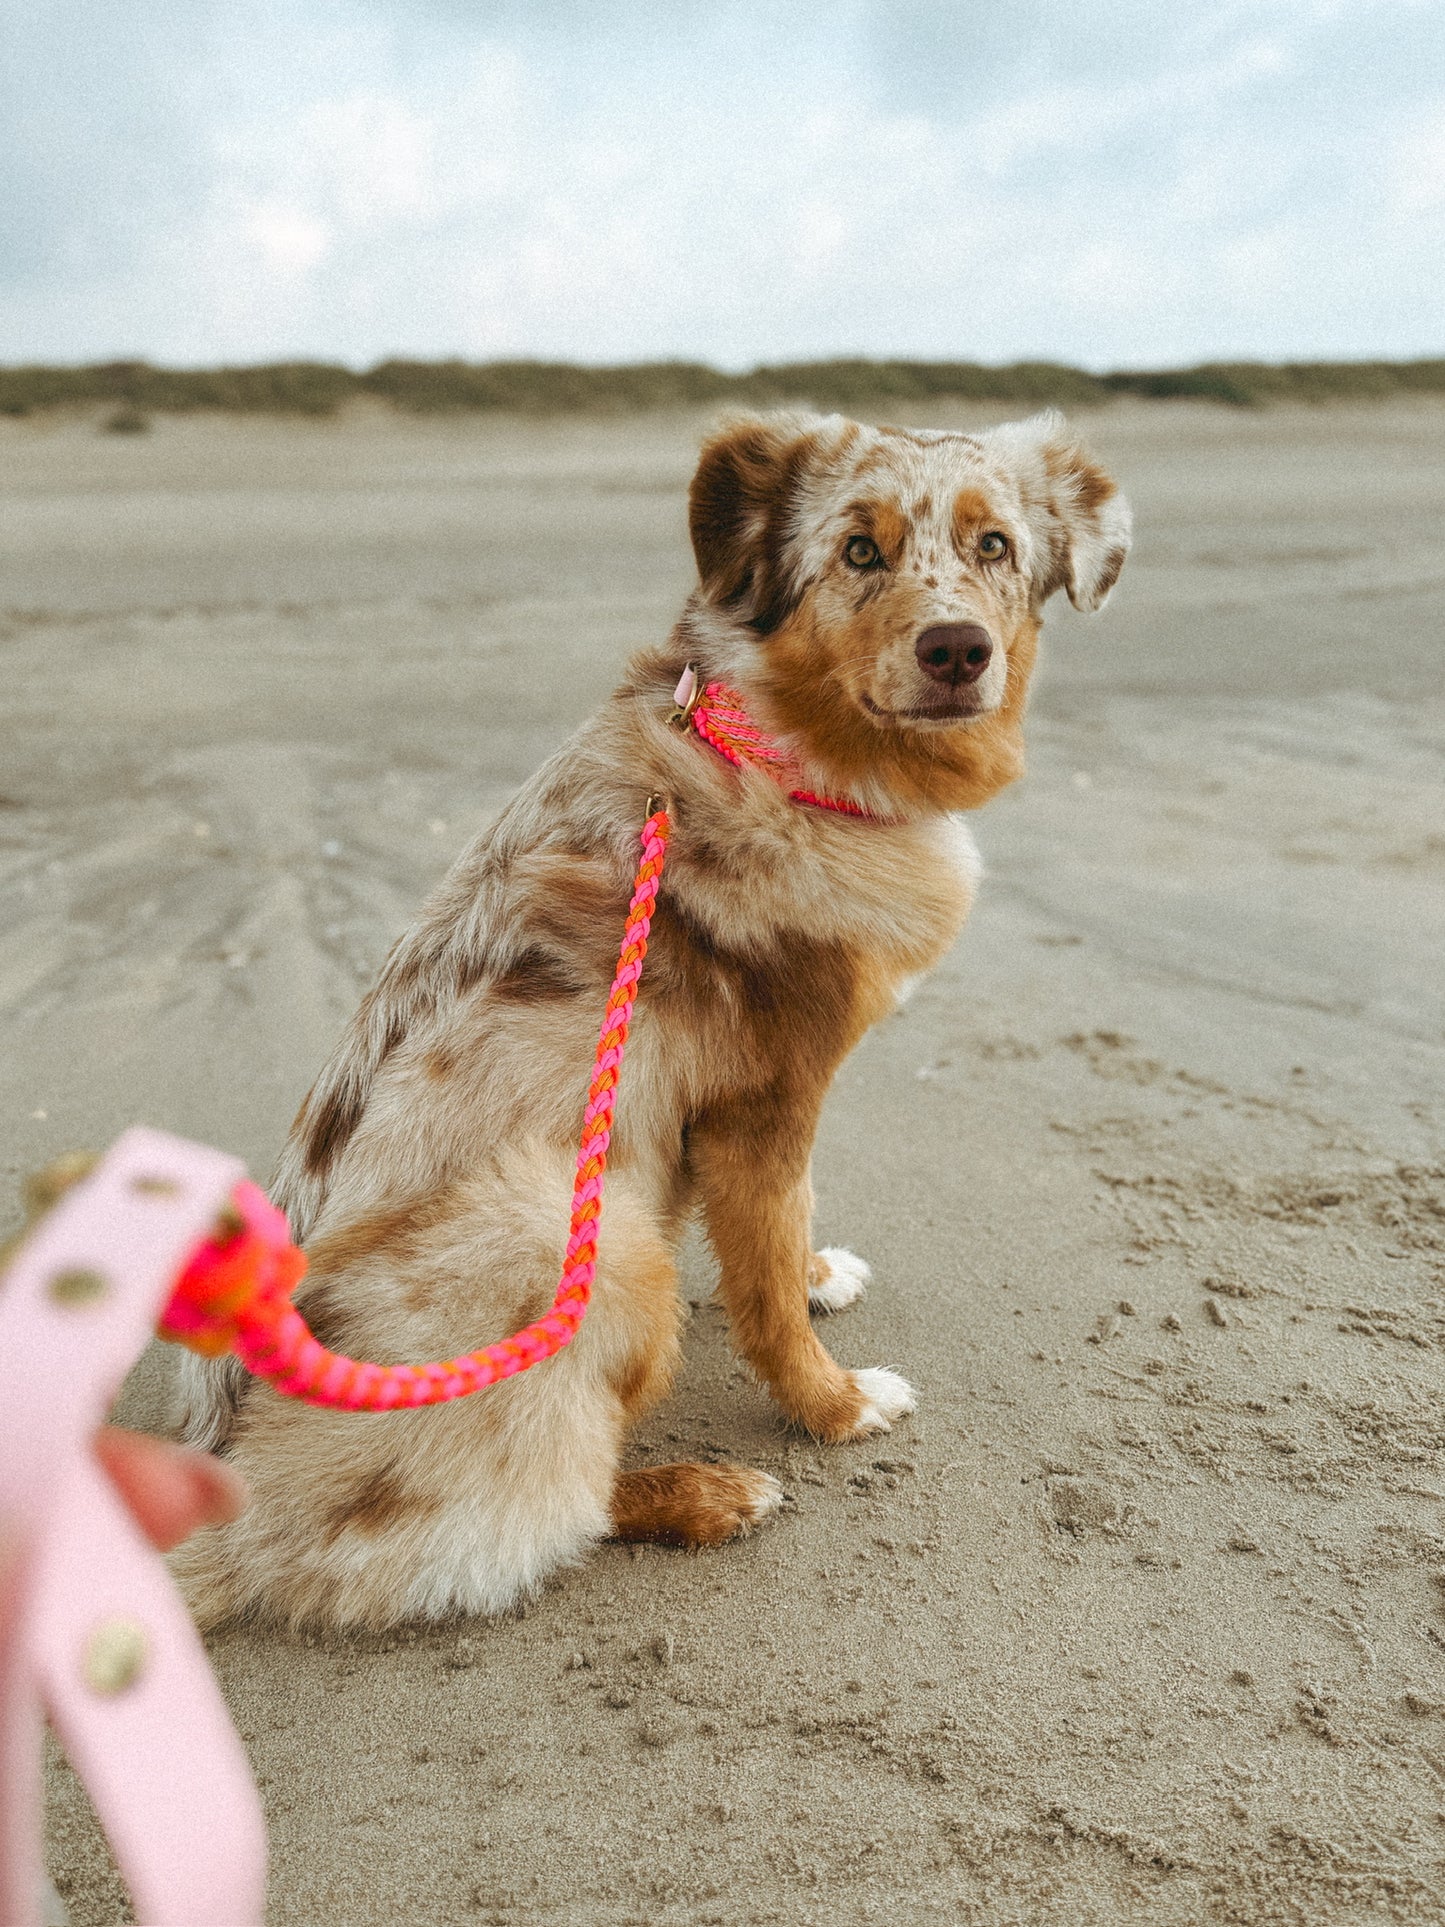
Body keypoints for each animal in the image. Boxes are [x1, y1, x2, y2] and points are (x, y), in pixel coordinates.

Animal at [172, 402, 1132, 1626]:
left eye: (993, 545)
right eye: (858, 551)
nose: (957, 650)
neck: (781, 748)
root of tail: (233, 1514)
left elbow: (786, 1236)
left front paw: (818, 1276)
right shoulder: (764, 1101)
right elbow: (763, 1286)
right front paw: (833, 1406)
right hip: (587, 1232)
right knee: (559, 1507)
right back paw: (707, 1493)